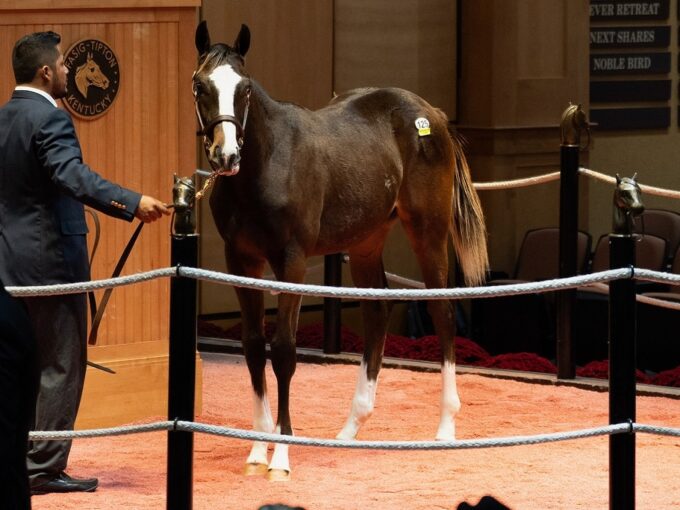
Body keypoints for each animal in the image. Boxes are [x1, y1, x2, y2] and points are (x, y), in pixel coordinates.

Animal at [193, 20, 488, 482]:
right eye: (200, 86)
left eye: (244, 88)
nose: (226, 155)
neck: (265, 164)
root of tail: (433, 115)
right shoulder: (240, 260)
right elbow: (253, 347)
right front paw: (257, 451)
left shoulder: (292, 261)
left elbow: (283, 351)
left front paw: (281, 456)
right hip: (367, 241)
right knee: (377, 311)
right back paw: (351, 428)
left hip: (429, 231)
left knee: (442, 312)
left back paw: (445, 428)